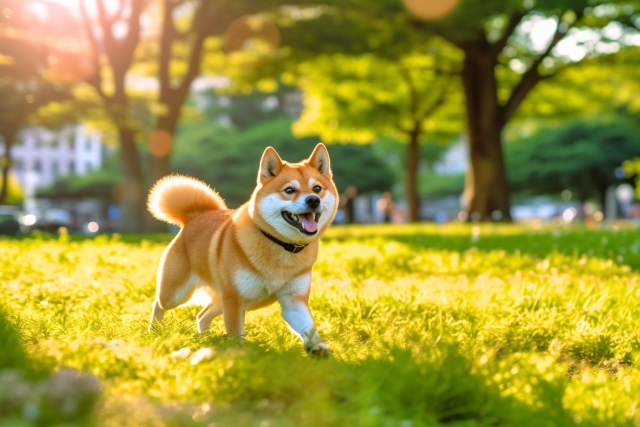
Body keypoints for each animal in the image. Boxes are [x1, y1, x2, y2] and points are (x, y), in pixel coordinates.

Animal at [148, 145, 338, 356]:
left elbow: (309, 328)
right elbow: (235, 334)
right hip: (177, 294)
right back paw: (155, 330)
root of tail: (194, 216)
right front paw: (240, 354)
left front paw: (319, 349)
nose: (313, 200)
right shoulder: (234, 301)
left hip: (219, 299)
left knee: (202, 315)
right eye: (289, 190)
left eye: (317, 189)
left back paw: (205, 338)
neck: (280, 245)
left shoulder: (293, 301)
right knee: (158, 304)